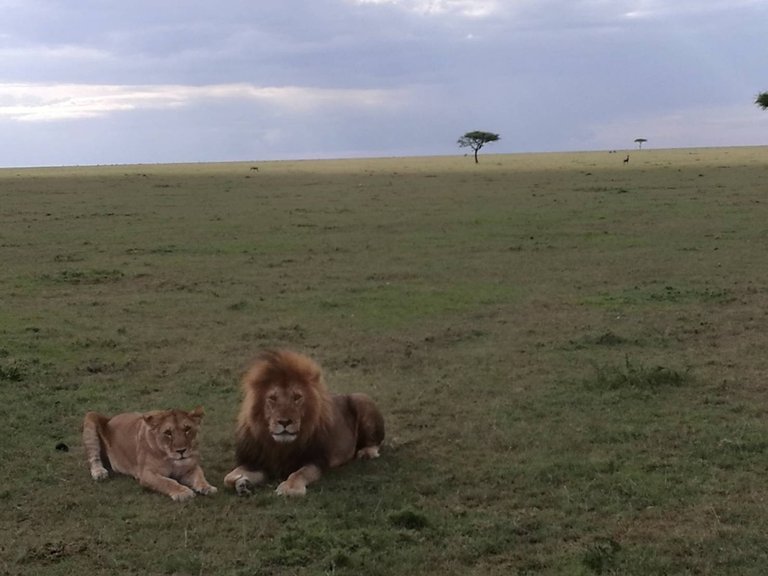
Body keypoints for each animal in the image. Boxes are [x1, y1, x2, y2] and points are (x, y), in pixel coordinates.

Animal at [82, 404, 218, 500]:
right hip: (91, 416)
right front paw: (183, 492)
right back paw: (99, 472)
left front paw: (207, 487)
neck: (169, 458)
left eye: (187, 429)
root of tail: (111, 418)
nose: (181, 451)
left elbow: (200, 476)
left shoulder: (190, 467)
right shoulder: (146, 474)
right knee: (93, 457)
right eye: (168, 433)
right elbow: (168, 482)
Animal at [225, 348, 388, 498]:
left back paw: (366, 452)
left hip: (362, 399)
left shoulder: (315, 460)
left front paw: (289, 488)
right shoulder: (257, 462)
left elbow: (299, 473)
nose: (284, 421)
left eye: (297, 397)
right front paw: (243, 483)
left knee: (375, 442)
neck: (281, 446)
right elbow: (228, 478)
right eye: (272, 398)